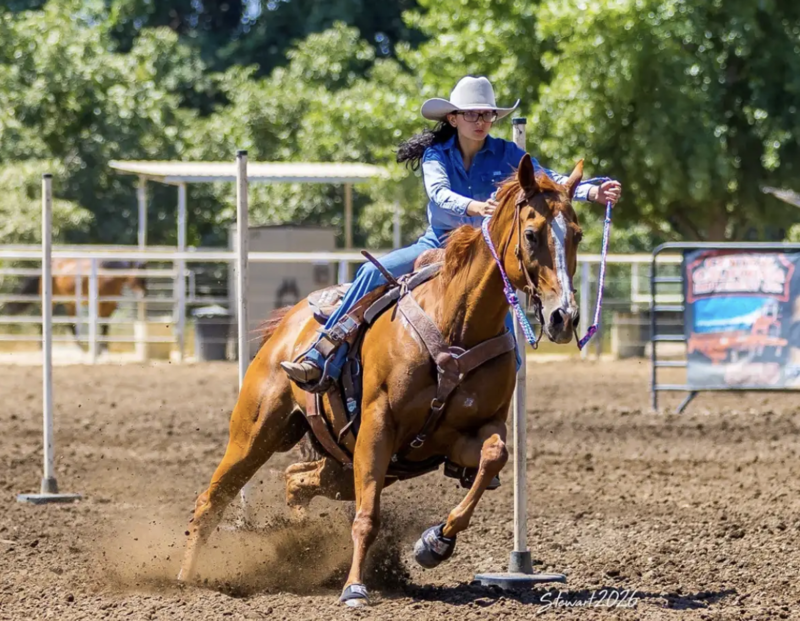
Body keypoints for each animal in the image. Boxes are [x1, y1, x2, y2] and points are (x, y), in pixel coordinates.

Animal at [4, 259, 147, 347]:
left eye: (145, 277)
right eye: (138, 277)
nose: (144, 294)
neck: (109, 277)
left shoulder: (111, 305)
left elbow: (106, 326)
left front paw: (104, 347)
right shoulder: (101, 305)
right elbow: (102, 324)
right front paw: (101, 348)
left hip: (70, 303)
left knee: (70, 324)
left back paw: (80, 346)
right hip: (51, 301)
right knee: (42, 322)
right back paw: (43, 345)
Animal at [178, 154, 585, 606]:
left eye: (578, 235)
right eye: (531, 234)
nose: (563, 317)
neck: (457, 325)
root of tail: (289, 324)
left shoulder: (469, 433)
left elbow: (494, 455)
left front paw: (434, 543)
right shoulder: (378, 424)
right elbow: (368, 516)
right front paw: (354, 587)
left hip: (342, 465)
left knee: (296, 481)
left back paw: (301, 542)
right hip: (255, 433)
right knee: (211, 501)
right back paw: (186, 578)